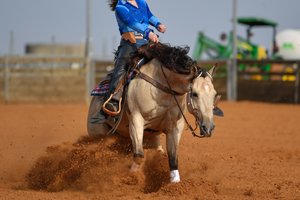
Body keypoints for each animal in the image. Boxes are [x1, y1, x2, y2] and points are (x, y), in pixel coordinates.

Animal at [86, 43, 223, 184]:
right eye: (195, 94)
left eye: (214, 94)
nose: (208, 127)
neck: (163, 86)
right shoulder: (136, 120)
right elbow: (139, 155)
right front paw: (131, 178)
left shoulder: (175, 127)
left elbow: (173, 158)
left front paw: (175, 184)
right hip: (98, 134)